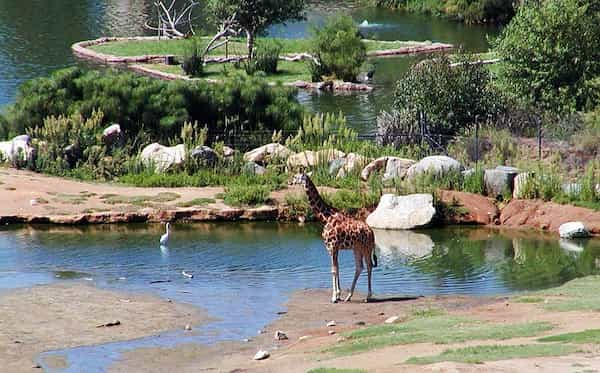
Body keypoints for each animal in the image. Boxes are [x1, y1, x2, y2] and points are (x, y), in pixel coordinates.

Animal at [290, 171, 378, 302]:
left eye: (296, 176)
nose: (289, 182)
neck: (325, 218)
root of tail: (372, 232)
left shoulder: (331, 246)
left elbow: (333, 269)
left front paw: (334, 297)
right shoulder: (334, 248)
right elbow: (337, 268)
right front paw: (339, 294)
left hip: (366, 248)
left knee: (369, 266)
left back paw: (368, 296)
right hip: (357, 248)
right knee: (359, 267)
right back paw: (349, 296)